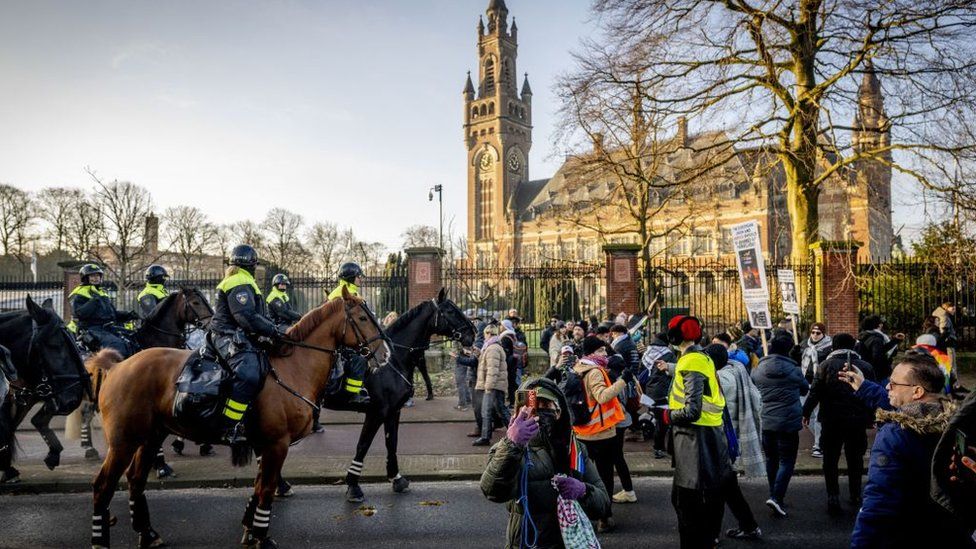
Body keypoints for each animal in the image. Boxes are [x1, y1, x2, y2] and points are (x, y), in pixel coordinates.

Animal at [86, 288, 386, 544]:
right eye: (362, 318)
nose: (385, 354)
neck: (292, 367)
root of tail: (118, 366)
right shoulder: (276, 444)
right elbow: (266, 490)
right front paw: (262, 537)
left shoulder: (265, 444)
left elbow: (258, 487)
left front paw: (250, 529)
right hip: (124, 442)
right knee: (103, 486)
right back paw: (101, 539)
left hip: (150, 437)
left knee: (135, 481)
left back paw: (147, 533)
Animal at [332, 288, 476, 504]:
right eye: (450, 311)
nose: (472, 333)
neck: (393, 359)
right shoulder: (376, 412)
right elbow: (363, 445)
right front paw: (353, 486)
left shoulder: (393, 411)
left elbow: (392, 442)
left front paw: (396, 478)